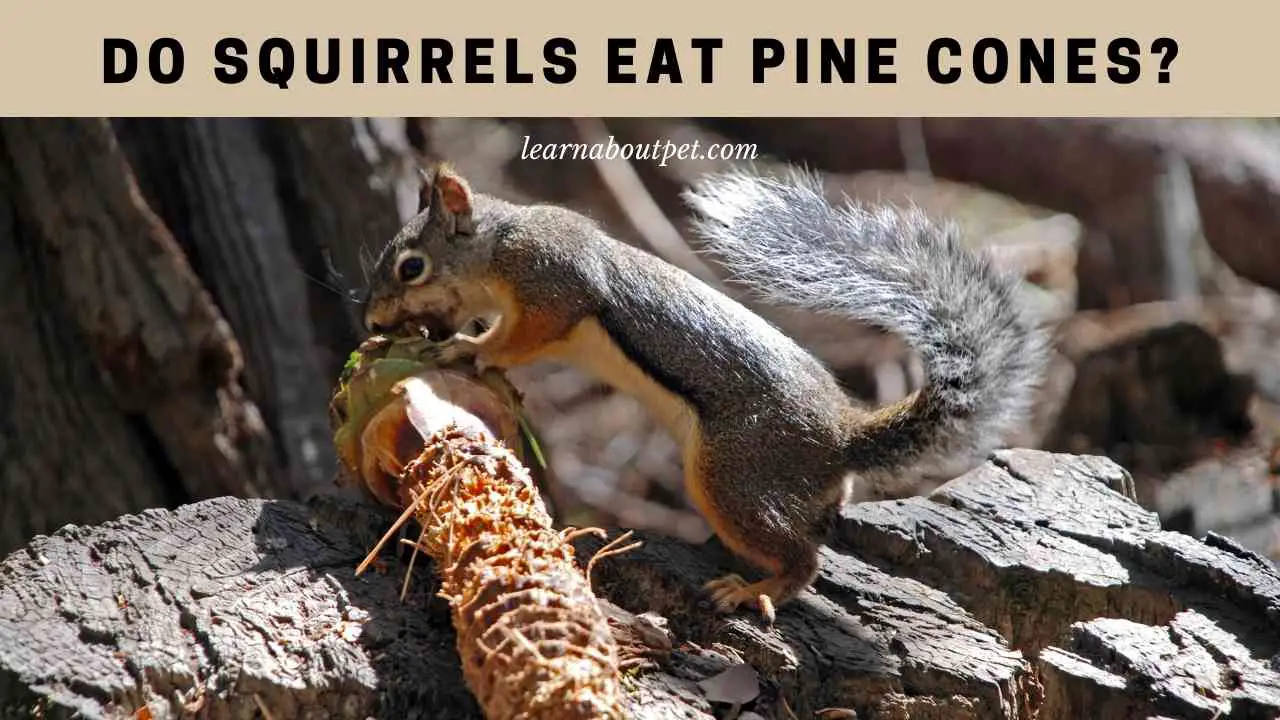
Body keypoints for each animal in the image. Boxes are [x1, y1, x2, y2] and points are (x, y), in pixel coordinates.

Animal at [363, 162, 1049, 623]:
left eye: (410, 266)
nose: (372, 320)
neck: (500, 242)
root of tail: (841, 440)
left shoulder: (551, 285)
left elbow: (518, 336)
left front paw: (464, 349)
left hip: (733, 475)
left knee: (804, 559)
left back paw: (755, 590)